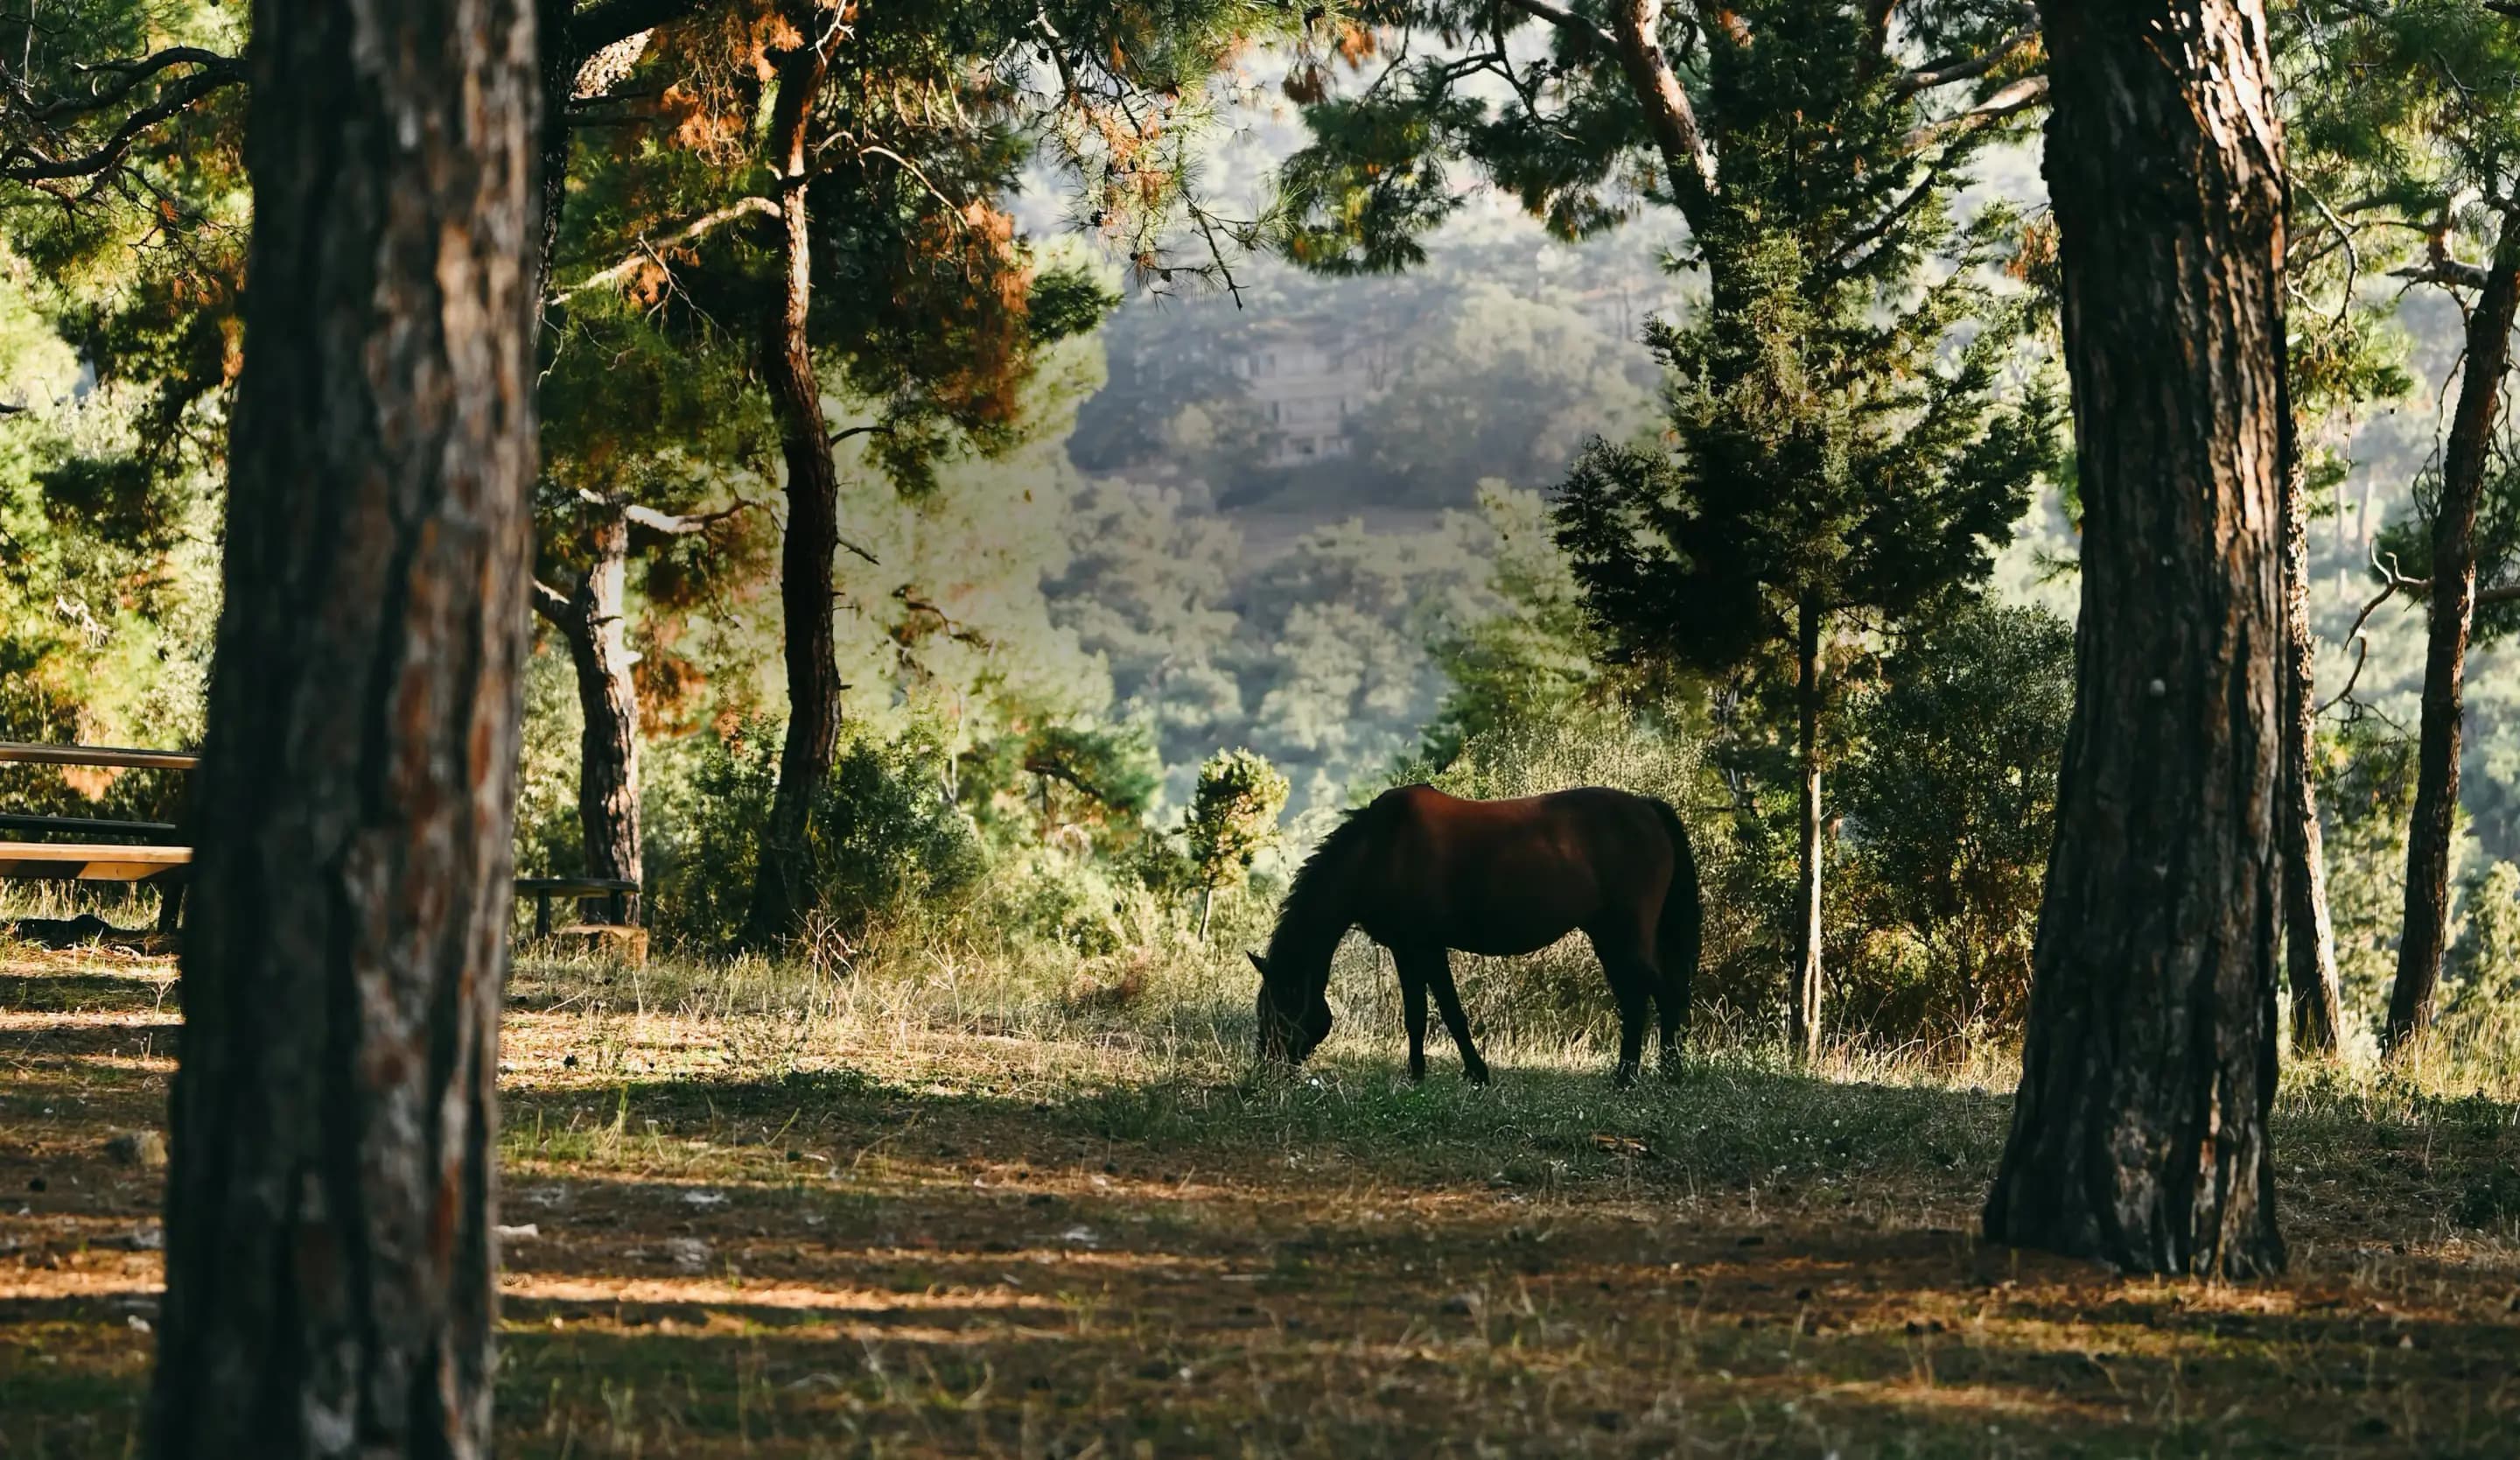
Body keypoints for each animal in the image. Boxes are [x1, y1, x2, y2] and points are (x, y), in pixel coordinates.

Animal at [1249, 783, 1701, 1088]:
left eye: (1277, 1012)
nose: (1266, 1070)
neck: (1378, 851)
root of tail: (1648, 809)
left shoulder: (1425, 948)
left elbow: (1445, 1012)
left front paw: (1469, 1074)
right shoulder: (1408, 949)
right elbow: (1421, 1014)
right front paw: (1425, 1075)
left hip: (1626, 936)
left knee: (1663, 994)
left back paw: (1664, 1074)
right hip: (1608, 937)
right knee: (1636, 999)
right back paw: (1628, 1076)